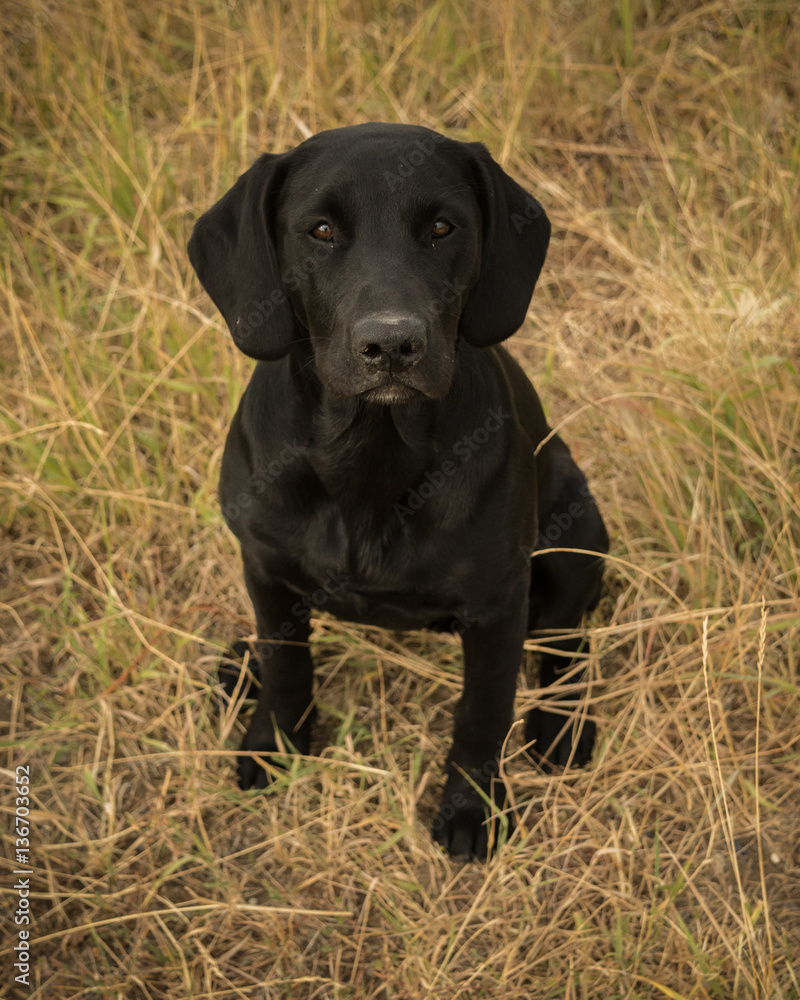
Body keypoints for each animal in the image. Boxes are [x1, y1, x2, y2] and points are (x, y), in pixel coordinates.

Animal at [189, 123, 608, 860]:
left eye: (443, 227)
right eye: (320, 230)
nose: (391, 345)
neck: (371, 457)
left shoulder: (498, 605)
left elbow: (483, 711)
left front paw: (472, 808)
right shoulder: (264, 568)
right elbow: (289, 665)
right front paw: (275, 744)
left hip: (577, 531)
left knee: (564, 640)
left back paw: (561, 726)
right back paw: (242, 668)